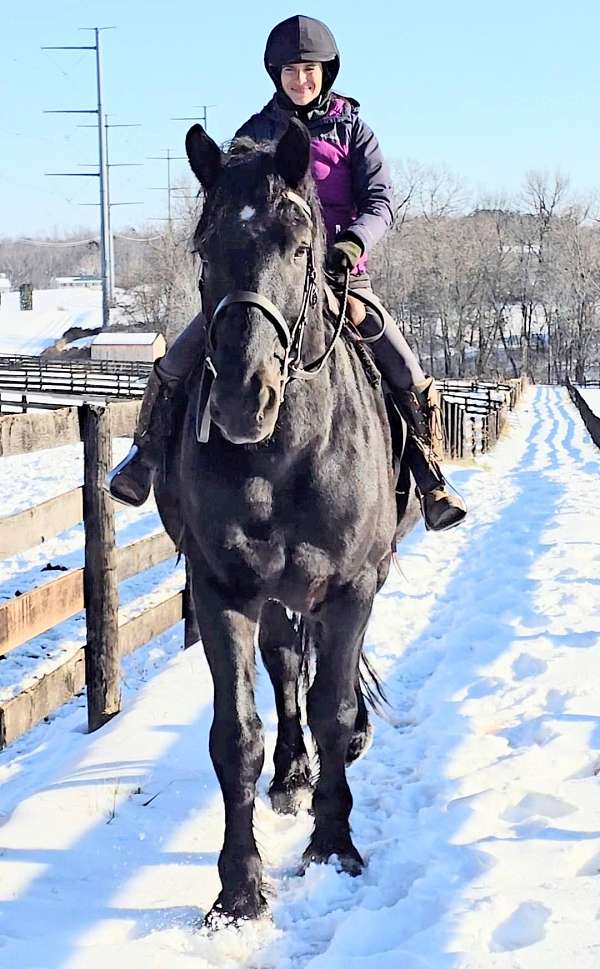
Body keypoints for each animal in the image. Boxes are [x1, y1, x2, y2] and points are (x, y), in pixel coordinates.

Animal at [155, 121, 418, 924]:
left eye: (300, 245)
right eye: (204, 249)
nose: (246, 397)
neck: (286, 454)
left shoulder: (353, 586)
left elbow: (334, 705)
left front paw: (334, 845)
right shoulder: (224, 590)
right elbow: (236, 733)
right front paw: (239, 888)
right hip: (273, 595)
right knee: (284, 665)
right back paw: (293, 771)